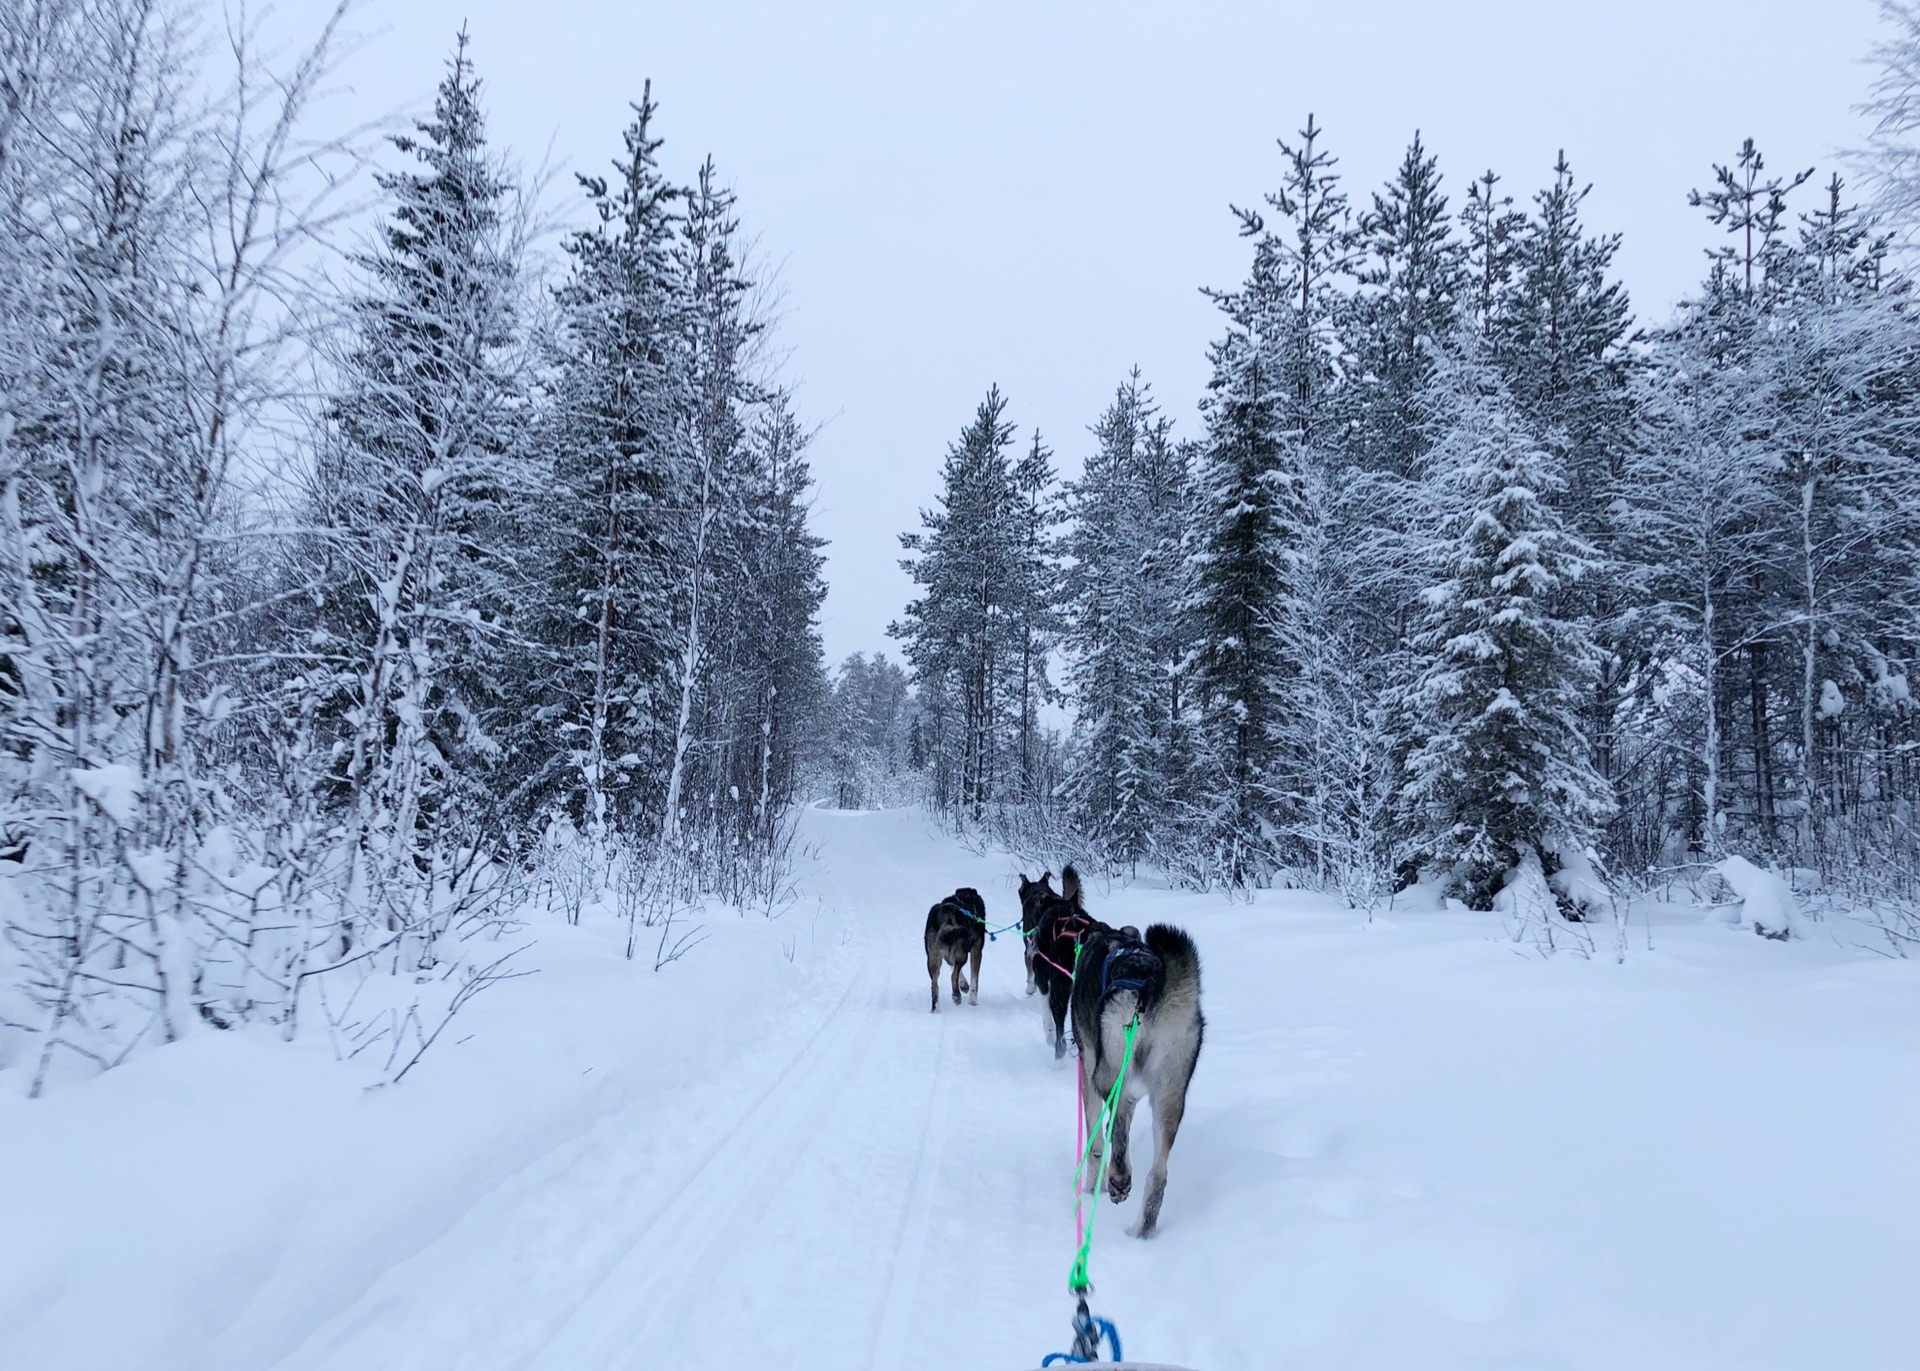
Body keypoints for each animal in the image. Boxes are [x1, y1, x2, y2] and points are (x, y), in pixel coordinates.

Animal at [1067, 914, 1198, 1236]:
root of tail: (1150, 986)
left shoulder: (1089, 1071)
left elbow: (1096, 1142)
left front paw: (1092, 1188)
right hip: (1170, 1096)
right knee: (1158, 1175)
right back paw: (1142, 1230)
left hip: (1108, 1075)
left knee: (1117, 1134)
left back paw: (1118, 1180)